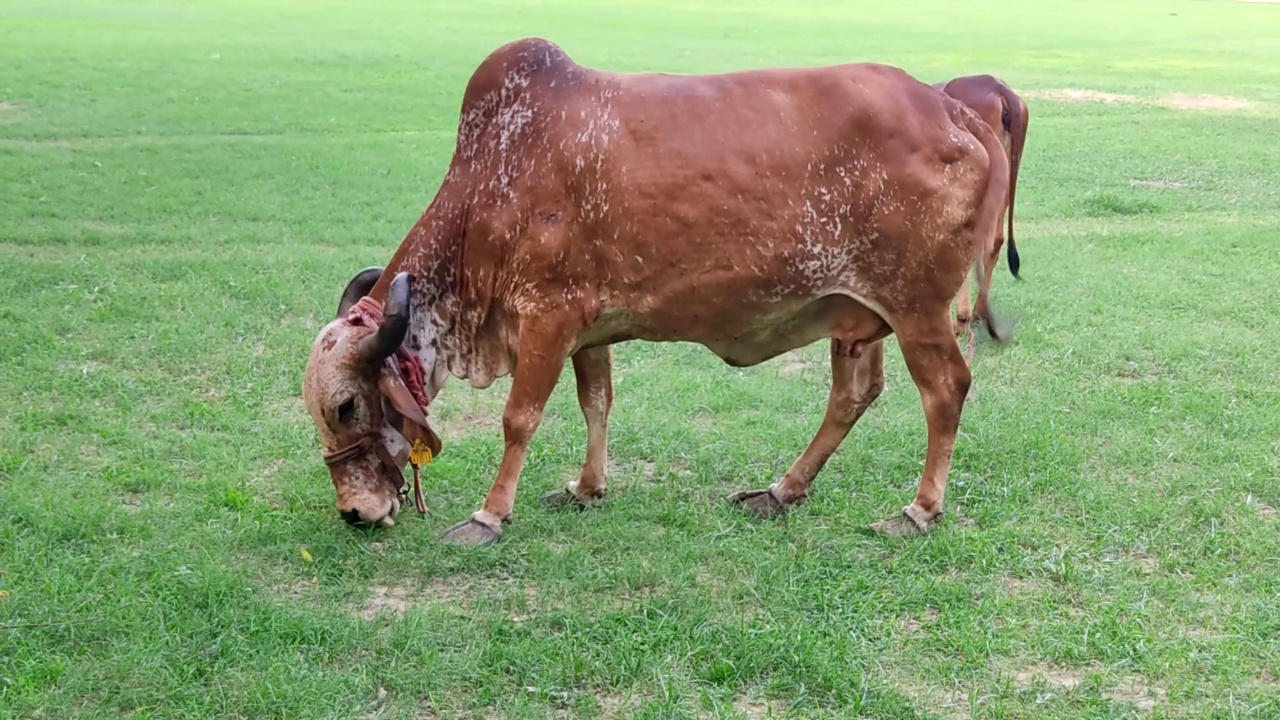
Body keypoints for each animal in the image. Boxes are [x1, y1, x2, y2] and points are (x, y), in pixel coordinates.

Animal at [299, 37, 1008, 543]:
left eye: (346, 406)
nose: (355, 512)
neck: (489, 186)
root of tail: (951, 108)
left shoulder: (547, 317)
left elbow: (519, 418)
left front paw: (489, 515)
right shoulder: (587, 328)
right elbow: (596, 402)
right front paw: (587, 488)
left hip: (917, 307)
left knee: (946, 390)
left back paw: (919, 509)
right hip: (855, 315)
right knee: (853, 396)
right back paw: (781, 491)